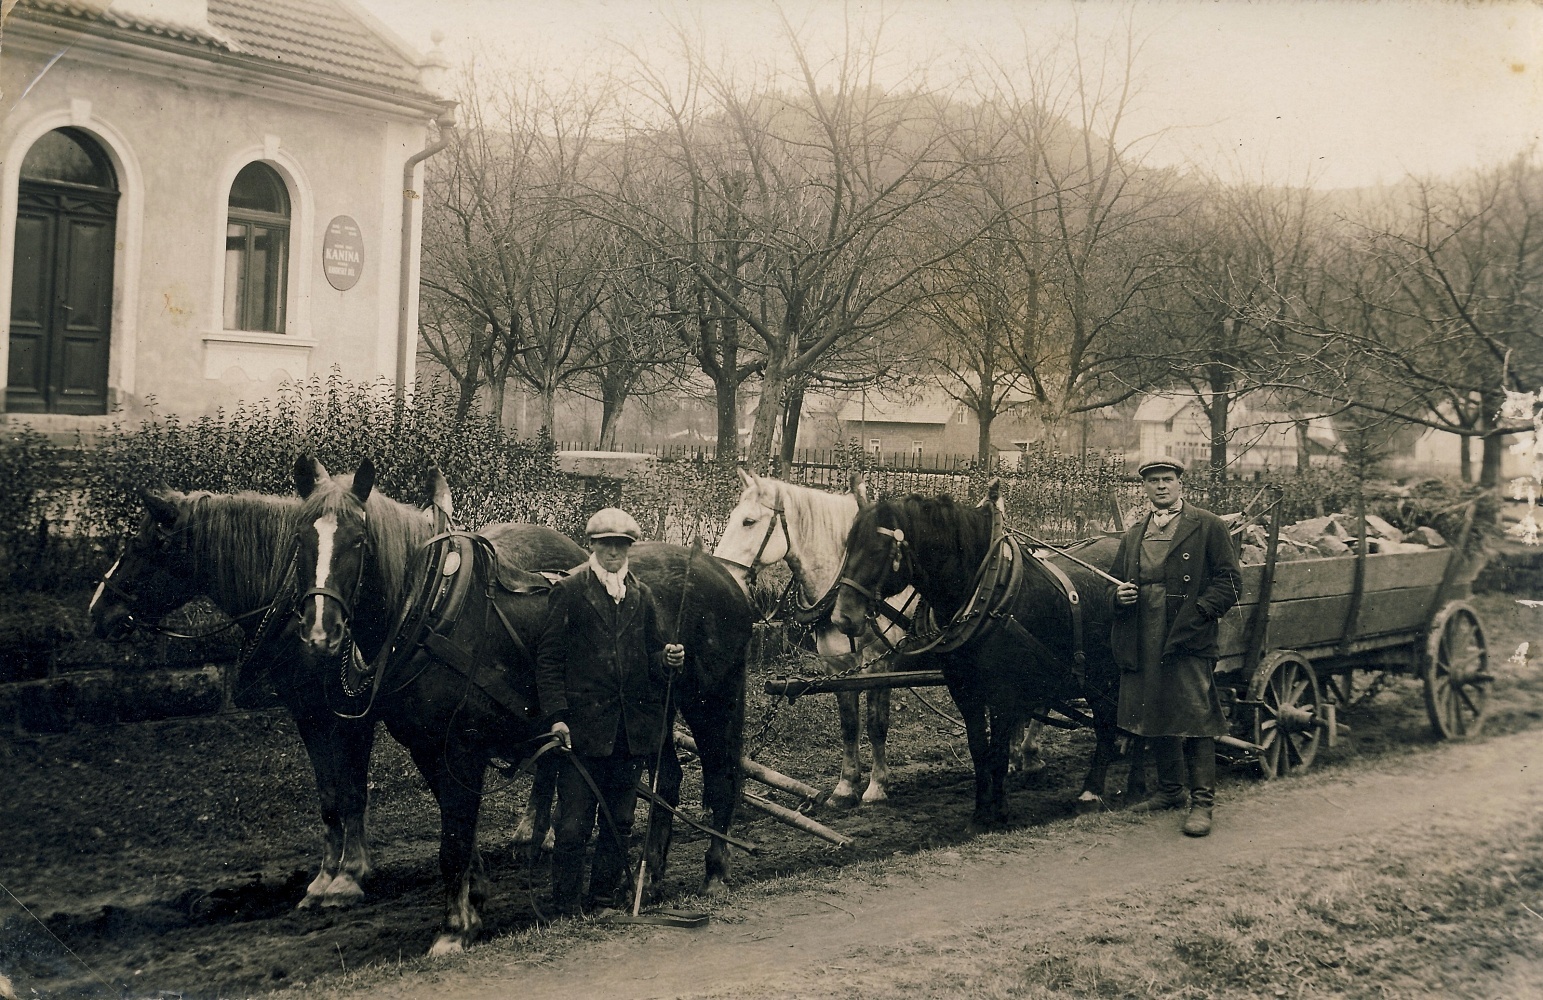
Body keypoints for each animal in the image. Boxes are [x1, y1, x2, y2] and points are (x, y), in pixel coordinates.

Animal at [833, 490, 1123, 827]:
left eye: (878, 549)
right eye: (848, 546)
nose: (841, 617)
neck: (988, 593)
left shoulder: (1003, 694)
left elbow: (997, 752)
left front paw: (1000, 812)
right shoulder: (965, 691)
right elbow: (978, 749)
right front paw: (981, 812)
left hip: (1107, 674)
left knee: (1107, 723)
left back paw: (1091, 792)